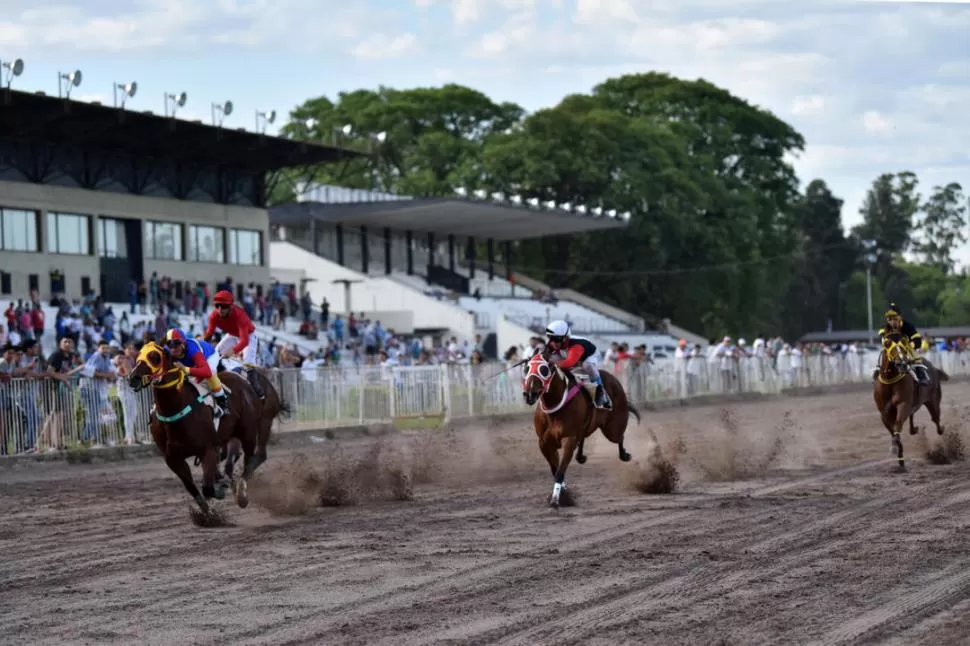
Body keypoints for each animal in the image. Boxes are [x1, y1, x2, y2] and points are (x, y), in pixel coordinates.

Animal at [127, 342, 268, 520]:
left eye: (155, 357)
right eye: (138, 355)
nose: (133, 378)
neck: (176, 409)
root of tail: (243, 379)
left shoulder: (207, 449)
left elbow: (207, 488)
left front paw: (221, 489)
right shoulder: (172, 458)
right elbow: (191, 487)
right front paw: (207, 514)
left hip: (248, 431)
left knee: (250, 460)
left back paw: (241, 493)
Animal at [520, 352, 640, 508]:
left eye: (544, 369)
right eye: (527, 368)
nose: (529, 394)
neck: (555, 405)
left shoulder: (569, 438)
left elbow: (560, 471)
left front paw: (556, 499)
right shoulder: (544, 442)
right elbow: (555, 469)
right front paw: (563, 493)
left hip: (612, 428)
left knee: (619, 437)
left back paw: (624, 454)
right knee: (583, 437)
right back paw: (581, 456)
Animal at [868, 336, 944, 474]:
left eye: (903, 345)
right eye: (889, 345)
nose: (902, 363)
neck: (889, 381)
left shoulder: (903, 404)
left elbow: (897, 425)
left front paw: (895, 449)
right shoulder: (884, 413)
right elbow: (893, 432)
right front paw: (900, 458)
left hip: (933, 400)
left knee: (936, 419)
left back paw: (940, 428)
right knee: (914, 417)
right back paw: (914, 429)